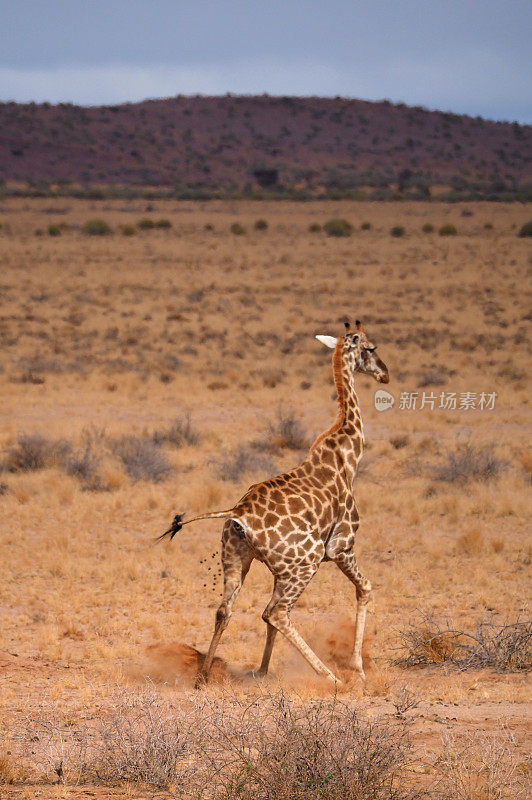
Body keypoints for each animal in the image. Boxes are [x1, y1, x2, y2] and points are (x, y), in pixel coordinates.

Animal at [160, 320, 388, 688]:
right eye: (370, 348)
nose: (385, 374)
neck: (349, 456)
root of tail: (237, 513)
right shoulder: (342, 545)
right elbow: (365, 588)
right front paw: (358, 669)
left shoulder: (280, 567)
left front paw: (263, 670)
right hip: (305, 561)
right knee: (277, 612)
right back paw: (330, 678)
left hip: (238, 558)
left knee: (227, 610)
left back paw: (203, 676)